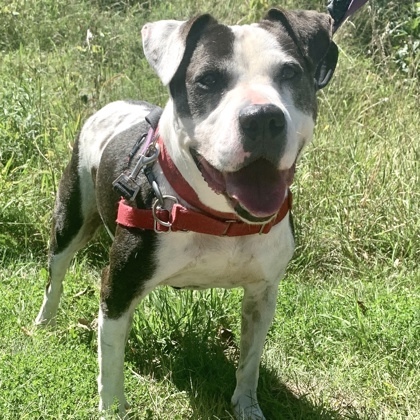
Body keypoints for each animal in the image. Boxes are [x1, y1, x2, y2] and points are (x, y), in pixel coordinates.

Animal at [35, 8, 338, 418]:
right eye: (207, 80)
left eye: (290, 73)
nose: (262, 117)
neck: (220, 218)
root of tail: (116, 104)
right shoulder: (118, 285)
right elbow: (110, 363)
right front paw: (113, 407)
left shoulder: (263, 293)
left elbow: (250, 361)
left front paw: (247, 405)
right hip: (71, 218)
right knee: (56, 274)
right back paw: (44, 322)